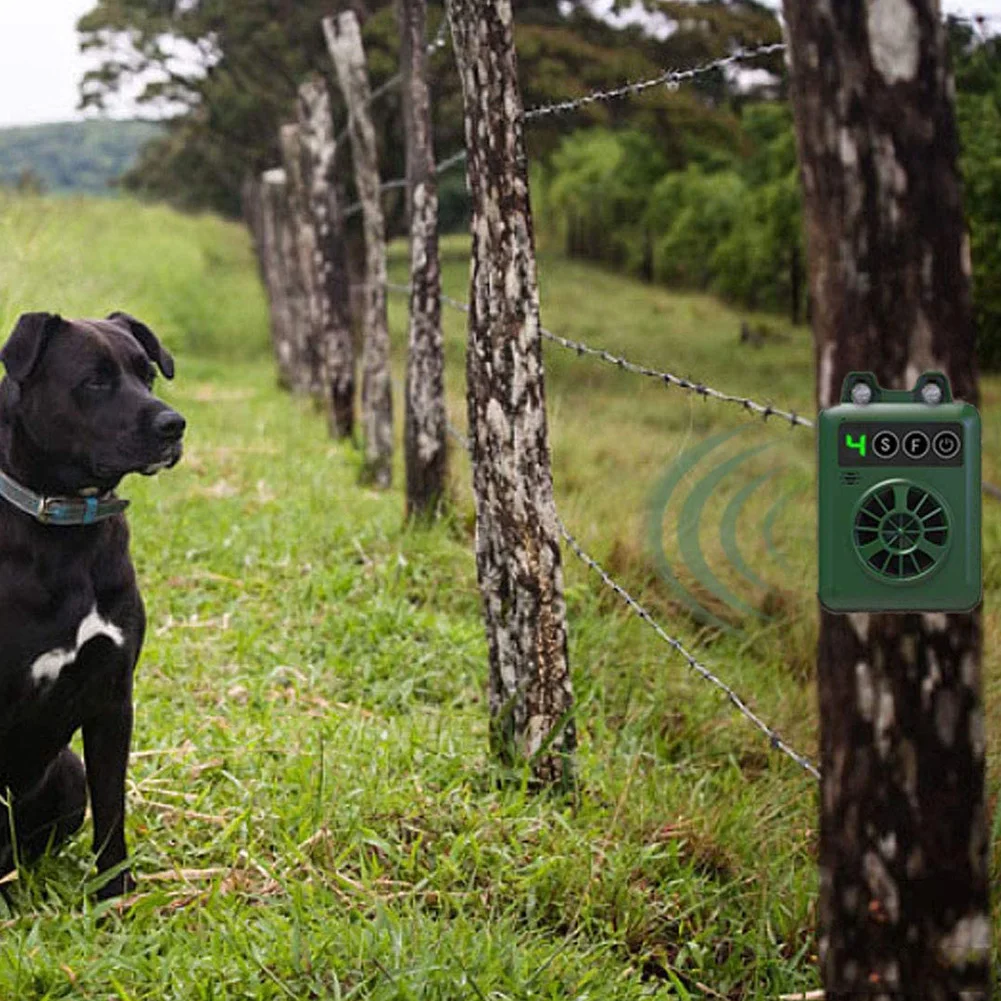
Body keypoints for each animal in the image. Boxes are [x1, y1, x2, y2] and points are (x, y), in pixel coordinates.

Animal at [0, 312, 184, 900]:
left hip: (66, 771)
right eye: (95, 381)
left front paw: (114, 896)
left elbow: (112, 808)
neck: (66, 529)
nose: (174, 425)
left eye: (147, 374)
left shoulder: (112, 695)